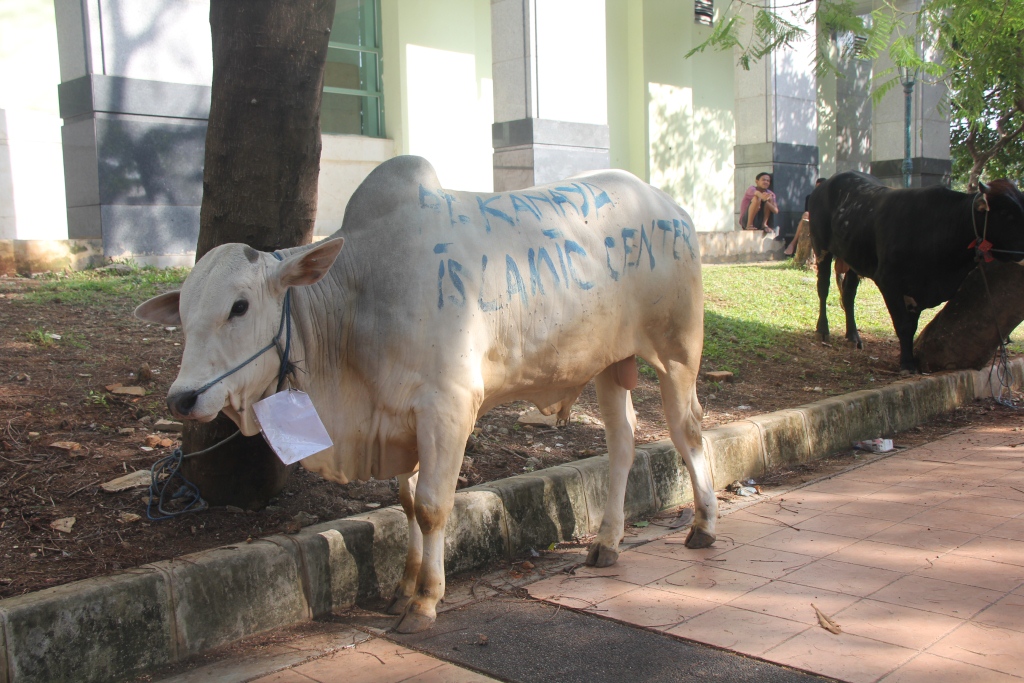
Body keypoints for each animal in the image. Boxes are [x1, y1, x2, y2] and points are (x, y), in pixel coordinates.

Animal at [136, 156, 716, 634]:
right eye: (182, 312)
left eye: (239, 306)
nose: (182, 399)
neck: (359, 297)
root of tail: (670, 206)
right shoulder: (400, 418)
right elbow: (409, 504)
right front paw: (403, 587)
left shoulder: (447, 407)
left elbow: (435, 507)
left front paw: (425, 601)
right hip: (609, 364)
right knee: (622, 443)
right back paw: (607, 542)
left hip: (677, 352)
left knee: (688, 432)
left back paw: (703, 525)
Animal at [811, 171, 1024, 374]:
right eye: (1006, 212)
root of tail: (826, 183)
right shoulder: (889, 283)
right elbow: (904, 325)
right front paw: (907, 364)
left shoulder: (918, 290)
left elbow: (911, 326)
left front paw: (910, 359)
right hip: (822, 249)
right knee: (823, 288)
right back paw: (822, 329)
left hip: (854, 258)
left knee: (848, 293)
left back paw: (853, 336)